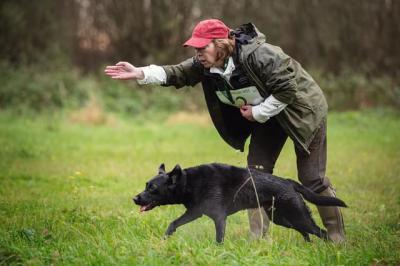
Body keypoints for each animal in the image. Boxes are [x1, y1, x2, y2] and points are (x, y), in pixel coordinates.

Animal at [133, 162, 346, 243]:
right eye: (145, 185)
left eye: (152, 188)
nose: (134, 198)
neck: (188, 182)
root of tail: (288, 181)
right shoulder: (195, 212)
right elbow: (173, 223)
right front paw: (165, 239)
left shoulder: (218, 218)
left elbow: (219, 238)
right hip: (282, 218)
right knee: (307, 233)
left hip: (297, 216)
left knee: (322, 232)